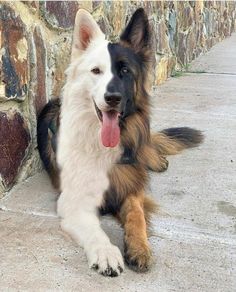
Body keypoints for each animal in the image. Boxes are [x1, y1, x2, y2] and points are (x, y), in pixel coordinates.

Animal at [37, 8, 203, 278]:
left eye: (125, 71)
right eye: (96, 71)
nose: (112, 98)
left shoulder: (130, 187)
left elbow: (137, 215)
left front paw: (139, 247)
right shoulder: (74, 202)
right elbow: (95, 229)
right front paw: (106, 252)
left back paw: (156, 160)